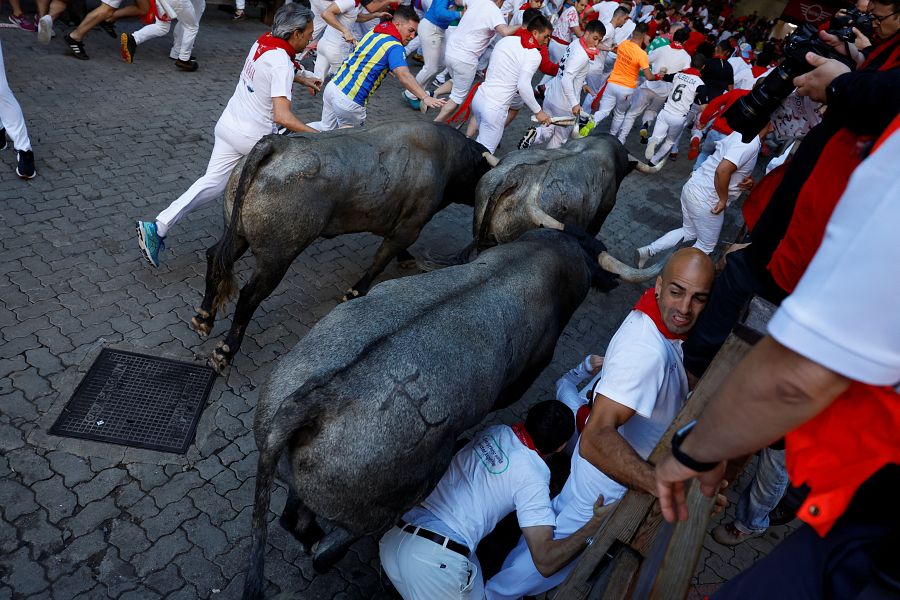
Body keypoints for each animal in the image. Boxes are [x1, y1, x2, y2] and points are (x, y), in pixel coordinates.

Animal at [191, 120, 496, 370]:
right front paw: (356, 291)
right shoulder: (410, 227)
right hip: (276, 258)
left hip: (237, 234)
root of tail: (277, 144)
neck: (447, 157)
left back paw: (204, 317)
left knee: (214, 258)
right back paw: (225, 350)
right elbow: (380, 260)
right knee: (248, 296)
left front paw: (405, 258)